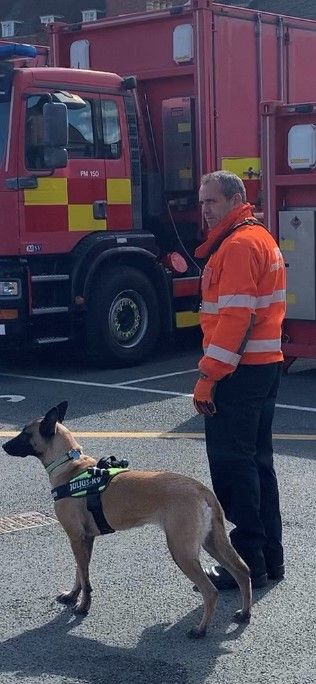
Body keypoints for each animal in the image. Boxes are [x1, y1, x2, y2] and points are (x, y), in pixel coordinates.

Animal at [1, 404, 251, 640]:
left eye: (25, 434)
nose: (4, 446)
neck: (70, 468)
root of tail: (201, 489)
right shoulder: (83, 540)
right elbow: (80, 573)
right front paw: (73, 595)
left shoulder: (76, 538)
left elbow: (85, 578)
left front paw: (83, 607)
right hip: (212, 543)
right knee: (242, 570)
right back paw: (245, 613)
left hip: (182, 551)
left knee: (211, 591)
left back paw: (201, 629)